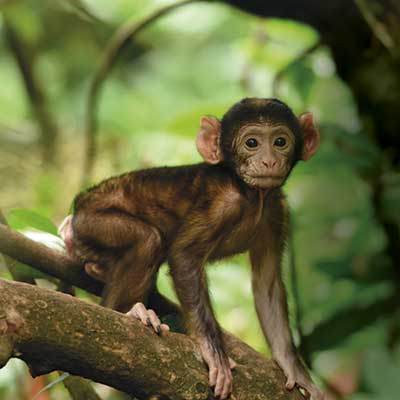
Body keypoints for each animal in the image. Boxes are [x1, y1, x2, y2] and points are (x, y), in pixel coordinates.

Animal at [61, 97, 324, 400]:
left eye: (280, 141)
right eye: (252, 143)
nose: (269, 160)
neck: (251, 195)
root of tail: (75, 213)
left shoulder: (277, 211)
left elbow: (266, 282)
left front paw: (295, 370)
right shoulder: (222, 205)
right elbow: (184, 257)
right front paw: (214, 354)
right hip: (92, 221)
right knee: (147, 240)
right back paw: (129, 312)